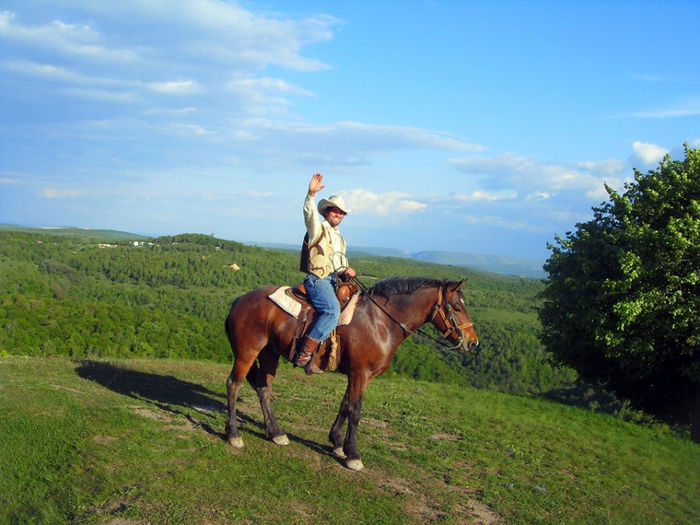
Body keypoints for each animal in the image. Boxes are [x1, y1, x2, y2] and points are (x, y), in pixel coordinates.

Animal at [227, 276, 478, 468]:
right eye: (456, 308)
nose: (472, 342)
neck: (381, 322)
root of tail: (238, 300)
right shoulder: (361, 373)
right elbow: (355, 411)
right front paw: (353, 456)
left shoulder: (357, 374)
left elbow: (345, 405)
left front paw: (338, 443)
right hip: (247, 352)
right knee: (234, 385)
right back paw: (233, 434)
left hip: (269, 353)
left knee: (264, 389)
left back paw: (276, 433)